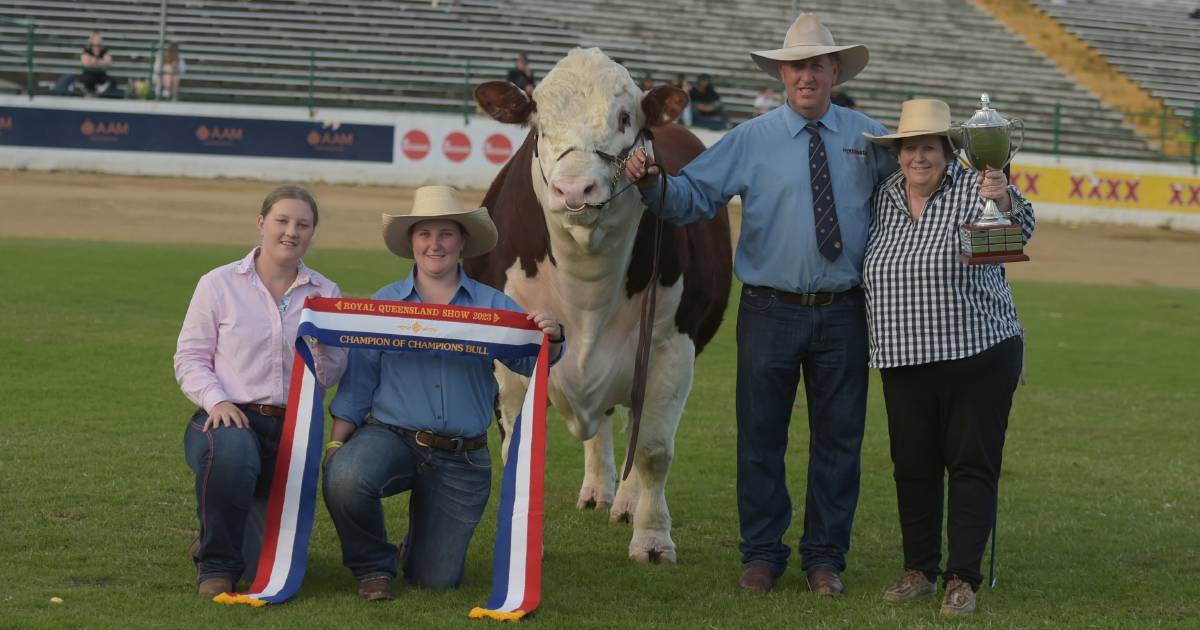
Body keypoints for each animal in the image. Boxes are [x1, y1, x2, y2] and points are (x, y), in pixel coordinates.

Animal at [465, 49, 729, 559]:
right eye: (539, 125)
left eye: (625, 118)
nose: (574, 190)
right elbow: (517, 450)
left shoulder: (670, 348)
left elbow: (652, 449)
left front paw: (652, 538)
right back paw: (596, 490)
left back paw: (624, 503)